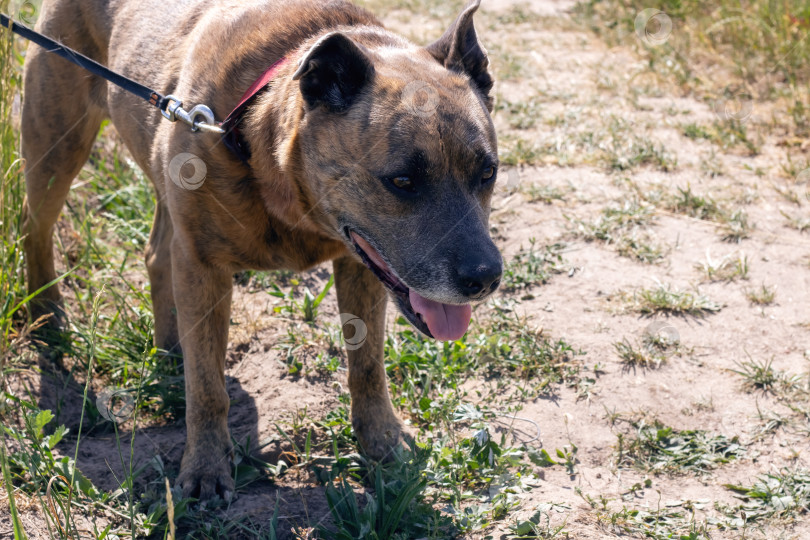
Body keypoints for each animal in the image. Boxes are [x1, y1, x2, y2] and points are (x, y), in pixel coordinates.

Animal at [23, 0, 498, 500]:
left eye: (488, 172)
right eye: (402, 181)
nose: (485, 277)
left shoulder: (360, 264)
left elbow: (367, 367)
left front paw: (382, 443)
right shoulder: (203, 266)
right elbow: (207, 389)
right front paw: (206, 466)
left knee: (155, 256)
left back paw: (170, 348)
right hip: (55, 146)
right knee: (34, 226)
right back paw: (47, 315)